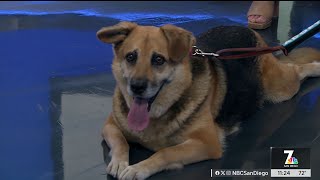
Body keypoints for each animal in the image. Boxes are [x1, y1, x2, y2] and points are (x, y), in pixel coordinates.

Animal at [96, 21, 320, 179]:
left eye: (158, 60)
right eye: (131, 57)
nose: (137, 87)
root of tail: (247, 29)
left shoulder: (208, 144)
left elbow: (165, 152)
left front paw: (138, 169)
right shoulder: (110, 125)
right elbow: (120, 142)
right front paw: (120, 162)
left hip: (281, 87)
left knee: (296, 69)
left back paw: (315, 67)